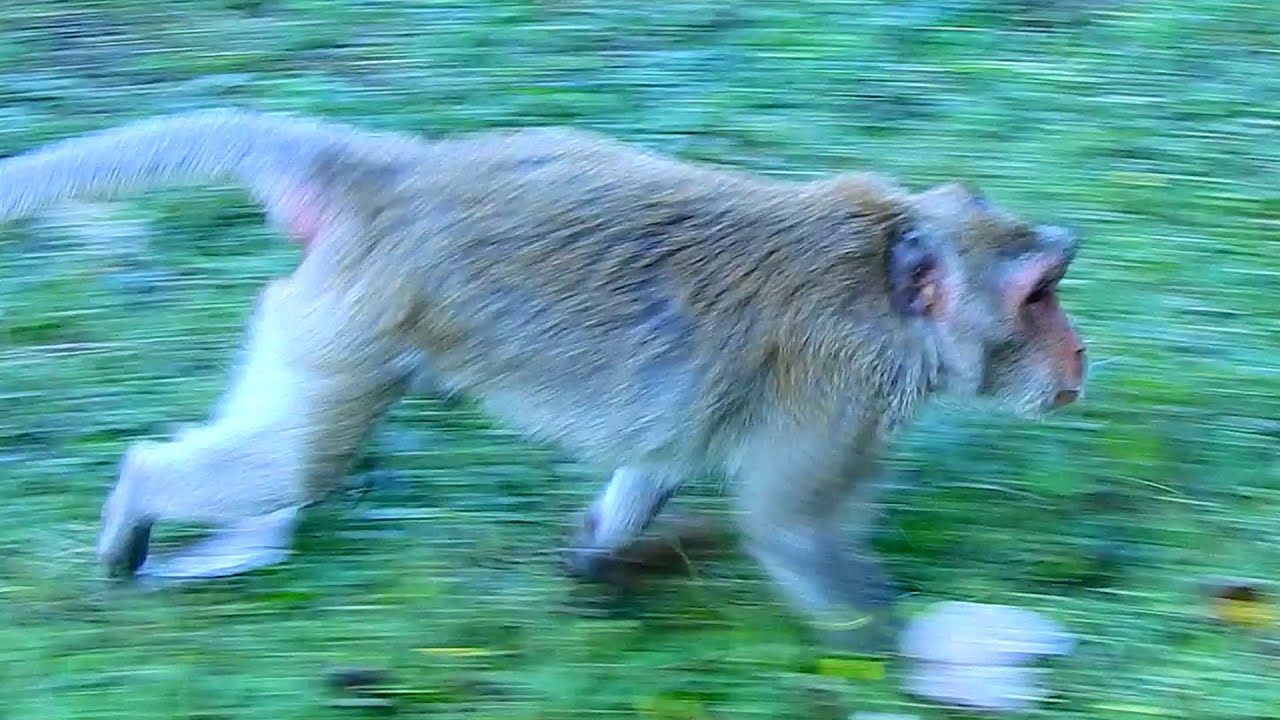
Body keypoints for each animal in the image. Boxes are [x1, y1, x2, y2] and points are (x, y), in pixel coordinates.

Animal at [0, 108, 1086, 649]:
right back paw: (140, 503)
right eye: (1038, 298)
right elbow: (791, 530)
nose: (1081, 352)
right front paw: (912, 657)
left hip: (328, 316)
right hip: (354, 315)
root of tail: (397, 172)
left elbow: (660, 459)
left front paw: (596, 560)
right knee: (296, 462)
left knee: (288, 451)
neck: (885, 285)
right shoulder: (839, 401)